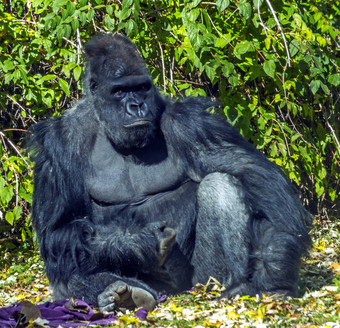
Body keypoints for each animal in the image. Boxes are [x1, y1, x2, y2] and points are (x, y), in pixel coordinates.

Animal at [29, 33, 310, 312]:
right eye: (119, 91)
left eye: (141, 87)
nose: (136, 106)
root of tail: (175, 294)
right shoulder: (59, 143)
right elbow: (57, 231)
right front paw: (136, 242)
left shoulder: (190, 122)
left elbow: (254, 173)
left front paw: (276, 264)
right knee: (70, 266)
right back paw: (119, 292)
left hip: (200, 280)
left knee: (220, 185)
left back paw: (238, 286)